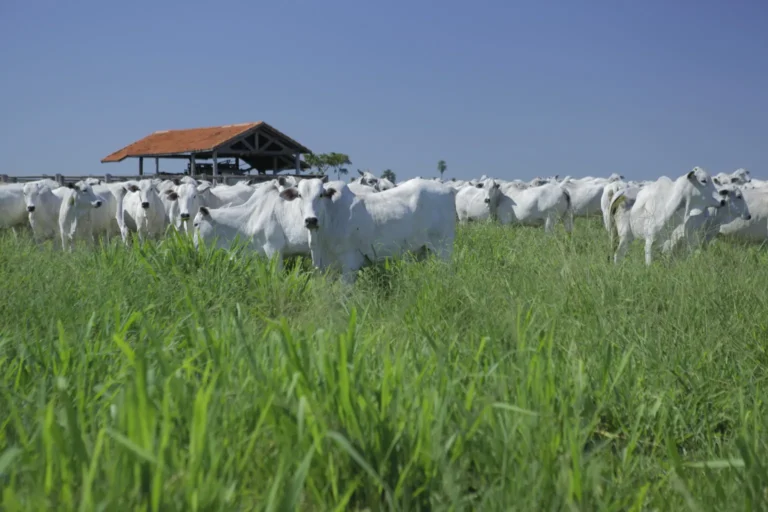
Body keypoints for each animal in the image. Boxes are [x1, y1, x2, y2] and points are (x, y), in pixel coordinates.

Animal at [276, 178, 456, 282]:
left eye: (321, 195)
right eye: (299, 195)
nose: (311, 220)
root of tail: (449, 190)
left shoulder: (349, 264)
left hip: (444, 248)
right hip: (424, 251)